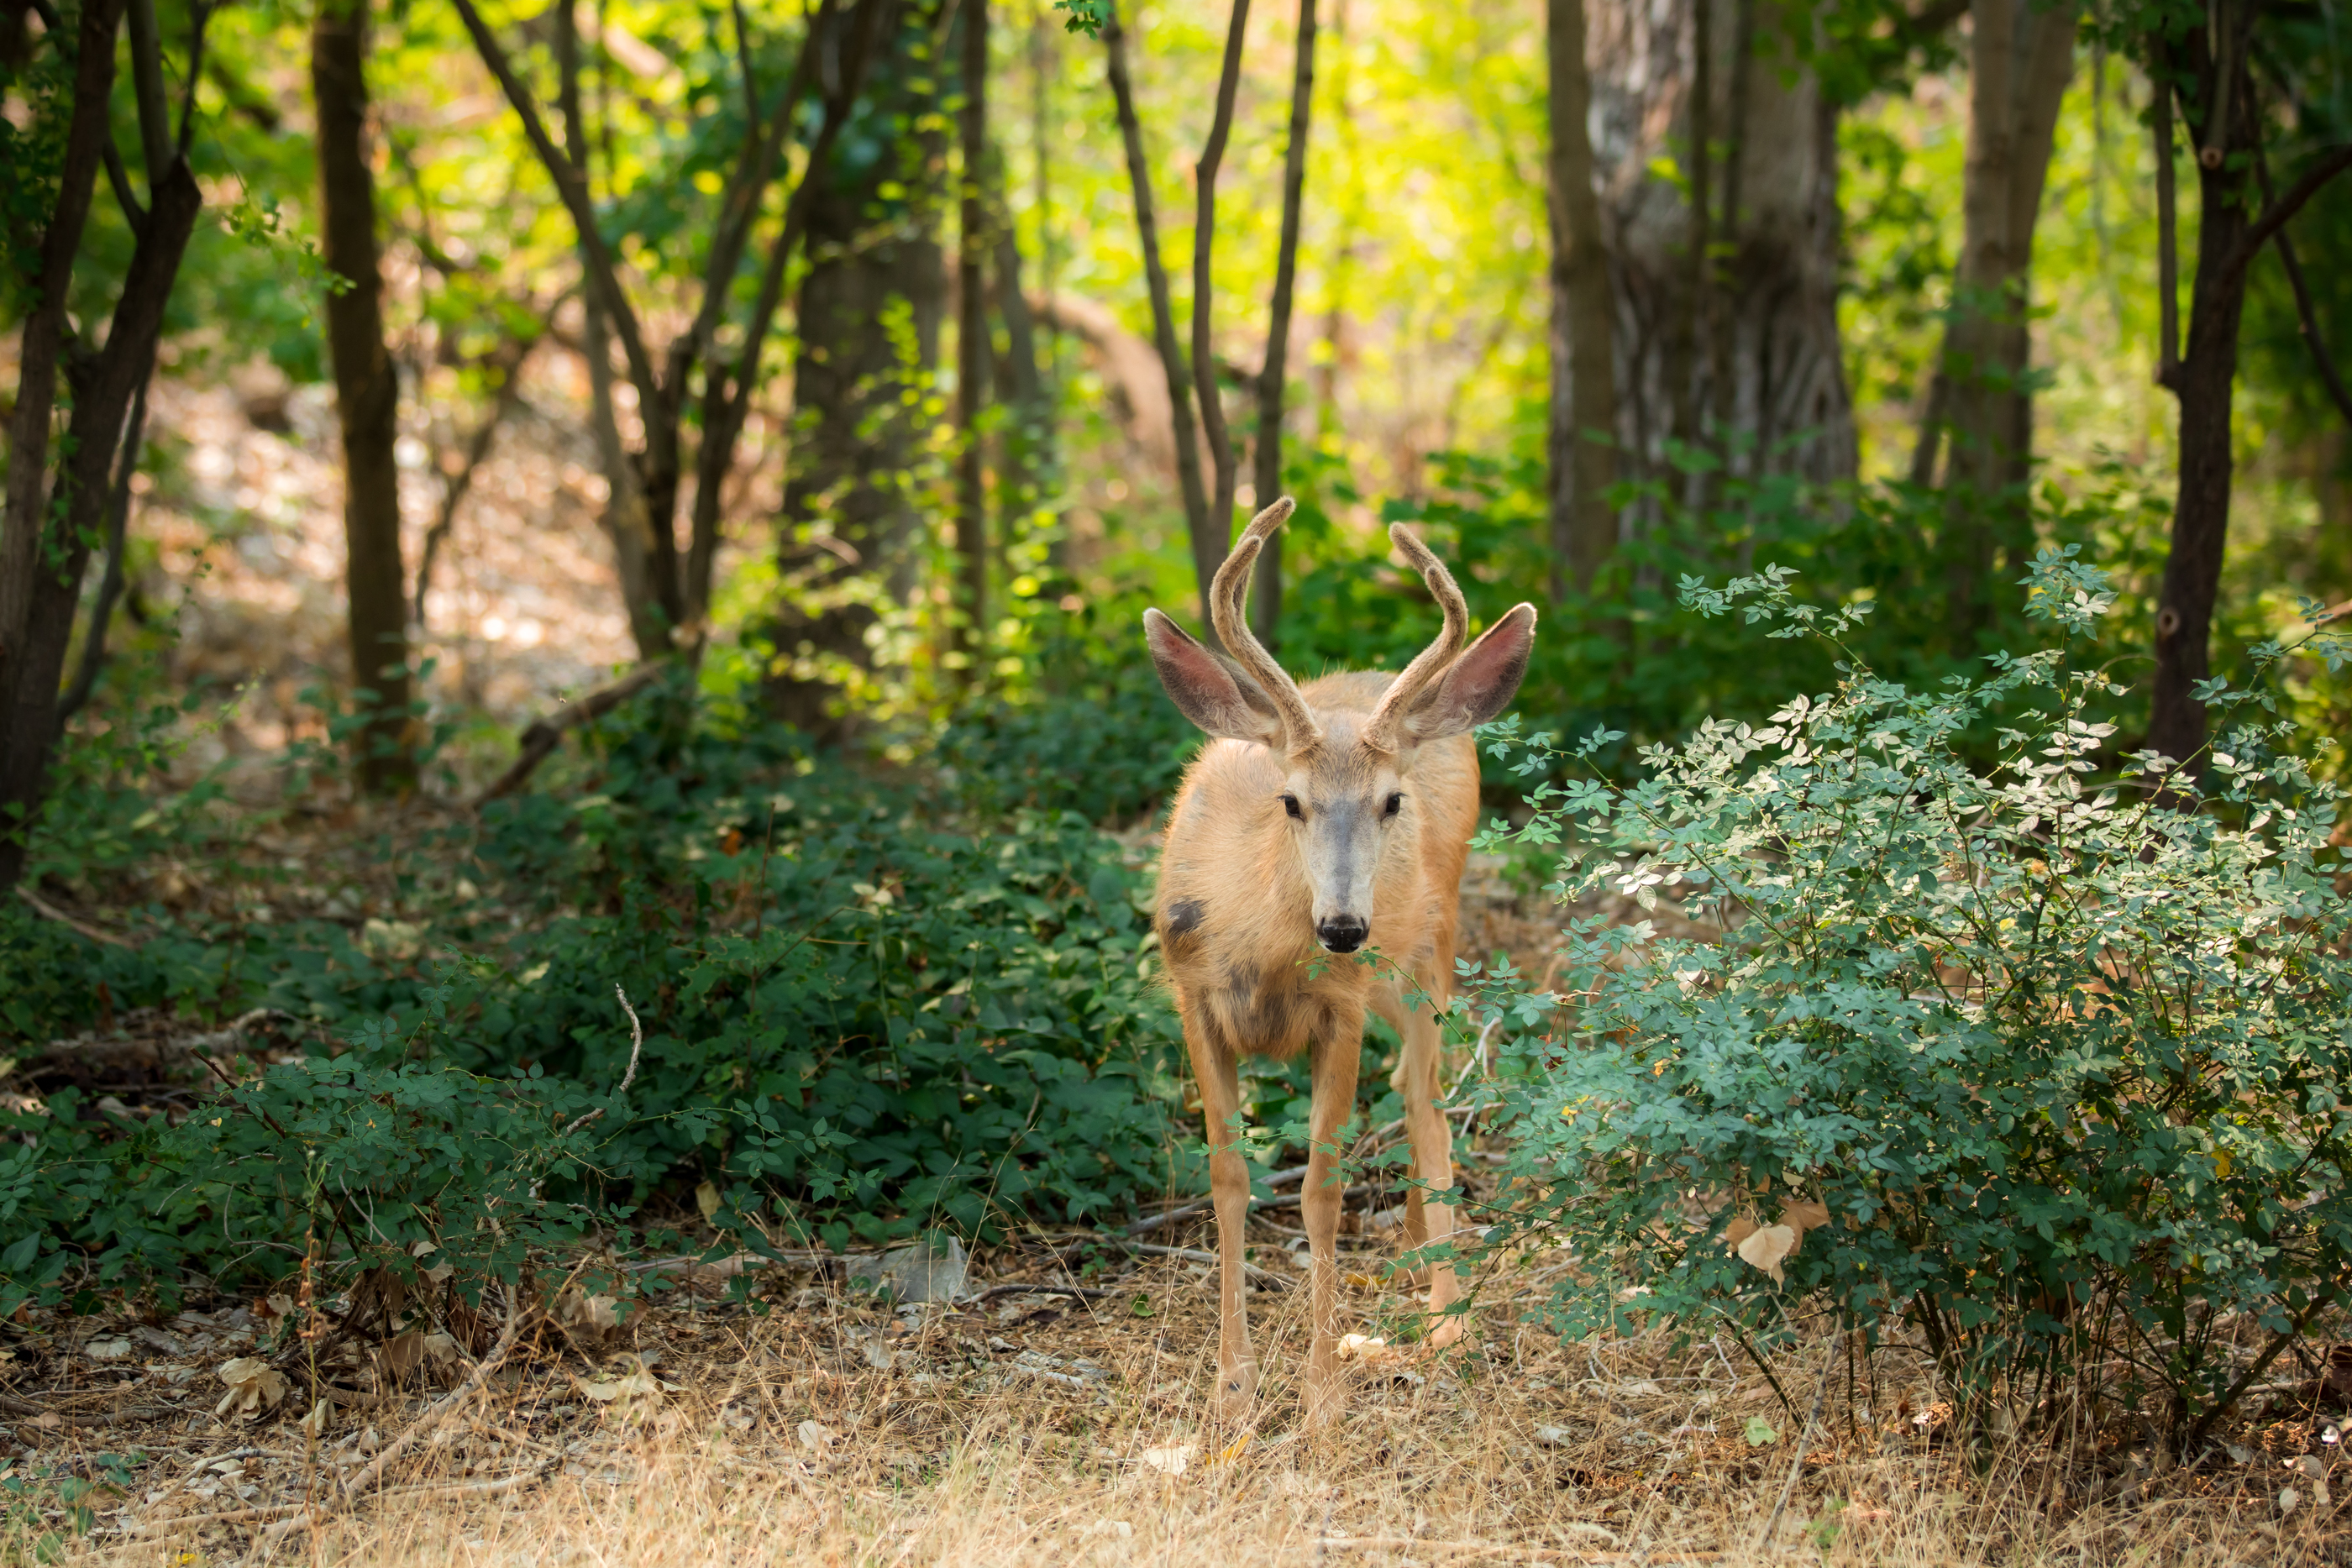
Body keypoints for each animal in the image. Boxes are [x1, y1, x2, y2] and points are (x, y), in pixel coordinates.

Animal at [1143, 497, 1536, 1426]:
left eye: (1391, 801)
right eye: (1291, 800)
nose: (1346, 927)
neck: (1263, 951)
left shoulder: (1343, 1011)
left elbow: (1321, 1189)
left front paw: (1321, 1396)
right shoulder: (1192, 1000)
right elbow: (1227, 1175)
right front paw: (1235, 1388)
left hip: (1431, 946)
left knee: (1428, 1096)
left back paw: (1445, 1316)